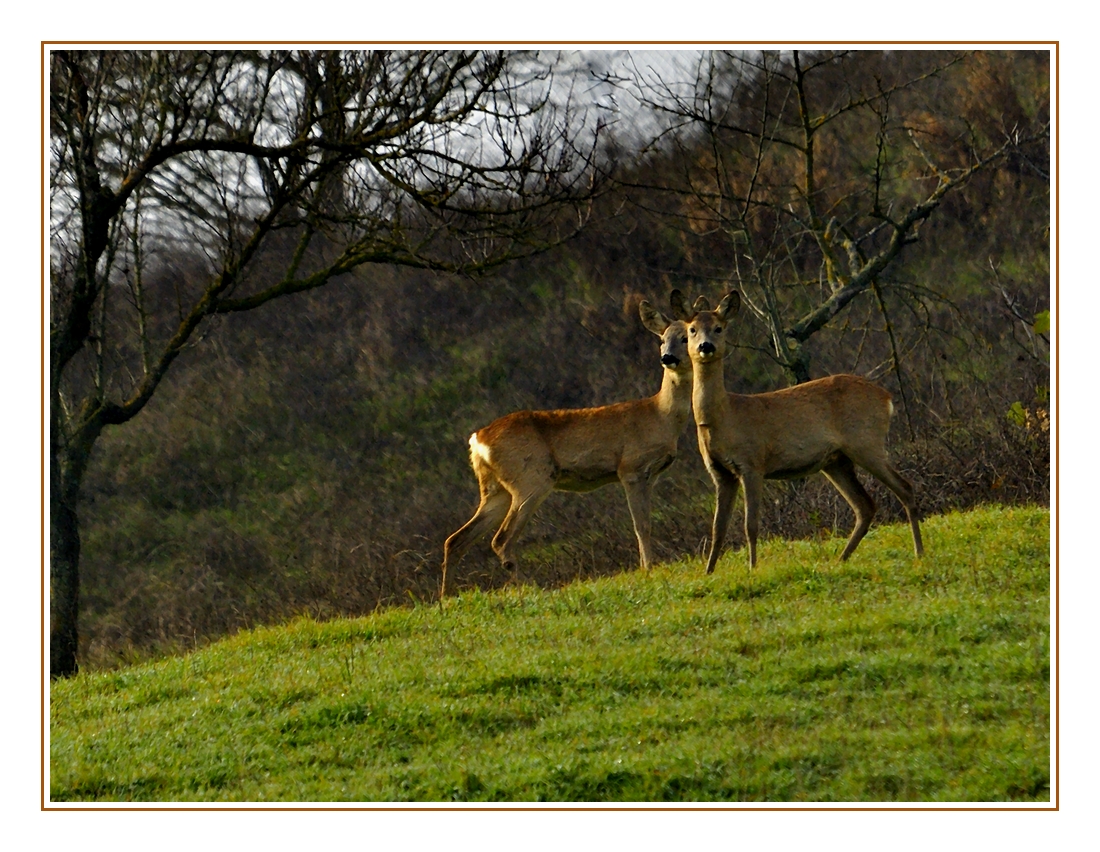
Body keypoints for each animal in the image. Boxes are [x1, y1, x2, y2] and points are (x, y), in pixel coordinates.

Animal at [440, 299, 690, 598]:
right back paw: (530, 586)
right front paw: (648, 568)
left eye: (686, 337)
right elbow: (641, 525)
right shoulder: (631, 468)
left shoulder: (650, 475)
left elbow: (646, 523)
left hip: (495, 488)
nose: (668, 358)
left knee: (455, 539)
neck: (661, 414)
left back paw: (445, 598)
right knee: (501, 540)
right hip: (530, 479)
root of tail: (478, 439)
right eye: (662, 339)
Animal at [668, 290, 928, 576]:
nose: (706, 346)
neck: (723, 419)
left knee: (904, 487)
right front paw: (708, 573)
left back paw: (919, 552)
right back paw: (841, 559)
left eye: (719, 328)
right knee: (865, 505)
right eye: (691, 330)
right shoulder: (720, 473)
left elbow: (750, 525)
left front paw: (752, 569)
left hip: (866, 442)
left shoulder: (752, 463)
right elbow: (717, 529)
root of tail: (887, 397)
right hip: (836, 461)